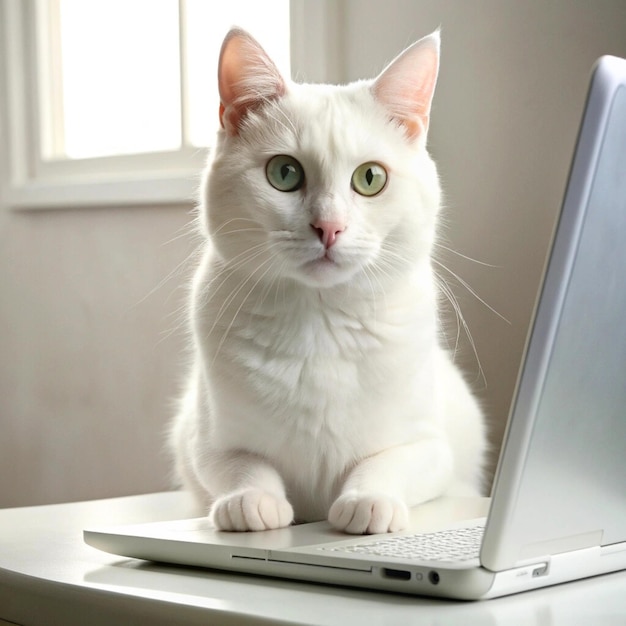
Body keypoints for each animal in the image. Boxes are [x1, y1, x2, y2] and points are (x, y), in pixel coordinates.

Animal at [168, 25, 486, 532]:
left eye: (371, 178)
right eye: (284, 172)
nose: (328, 227)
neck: (320, 324)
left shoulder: (431, 449)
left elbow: (385, 462)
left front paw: (367, 501)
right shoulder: (206, 443)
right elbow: (245, 465)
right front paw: (252, 502)